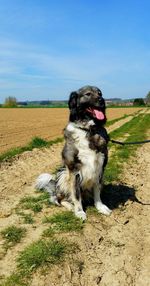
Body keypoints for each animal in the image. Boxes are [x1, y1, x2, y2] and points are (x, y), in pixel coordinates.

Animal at [35, 86, 111, 220]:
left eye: (100, 93)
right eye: (88, 94)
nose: (102, 100)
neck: (88, 130)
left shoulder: (100, 167)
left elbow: (97, 191)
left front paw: (100, 207)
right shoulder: (74, 170)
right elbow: (76, 194)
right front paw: (79, 212)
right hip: (63, 175)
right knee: (58, 199)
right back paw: (70, 206)